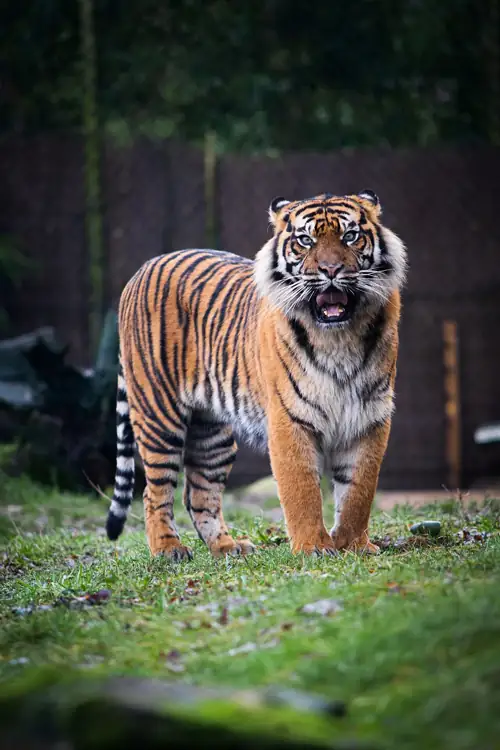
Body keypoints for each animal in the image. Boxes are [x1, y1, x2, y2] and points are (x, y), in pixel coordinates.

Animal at [106, 190, 407, 559]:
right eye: (305, 241)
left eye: (350, 236)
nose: (331, 270)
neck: (338, 337)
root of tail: (143, 268)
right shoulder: (290, 419)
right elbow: (302, 490)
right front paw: (313, 547)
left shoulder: (368, 417)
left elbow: (358, 491)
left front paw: (354, 545)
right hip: (159, 416)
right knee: (154, 492)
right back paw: (168, 549)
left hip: (212, 433)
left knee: (199, 493)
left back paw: (227, 547)